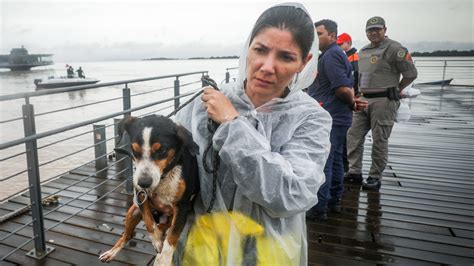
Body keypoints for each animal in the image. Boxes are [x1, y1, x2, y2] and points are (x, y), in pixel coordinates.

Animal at [99, 115, 199, 266]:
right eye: (134, 150)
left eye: (161, 150)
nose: (143, 183)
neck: (163, 177)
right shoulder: (140, 197)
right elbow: (148, 221)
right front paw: (156, 239)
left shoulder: (182, 207)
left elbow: (172, 238)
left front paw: (164, 259)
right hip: (132, 211)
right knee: (128, 235)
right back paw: (112, 252)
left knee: (166, 228)